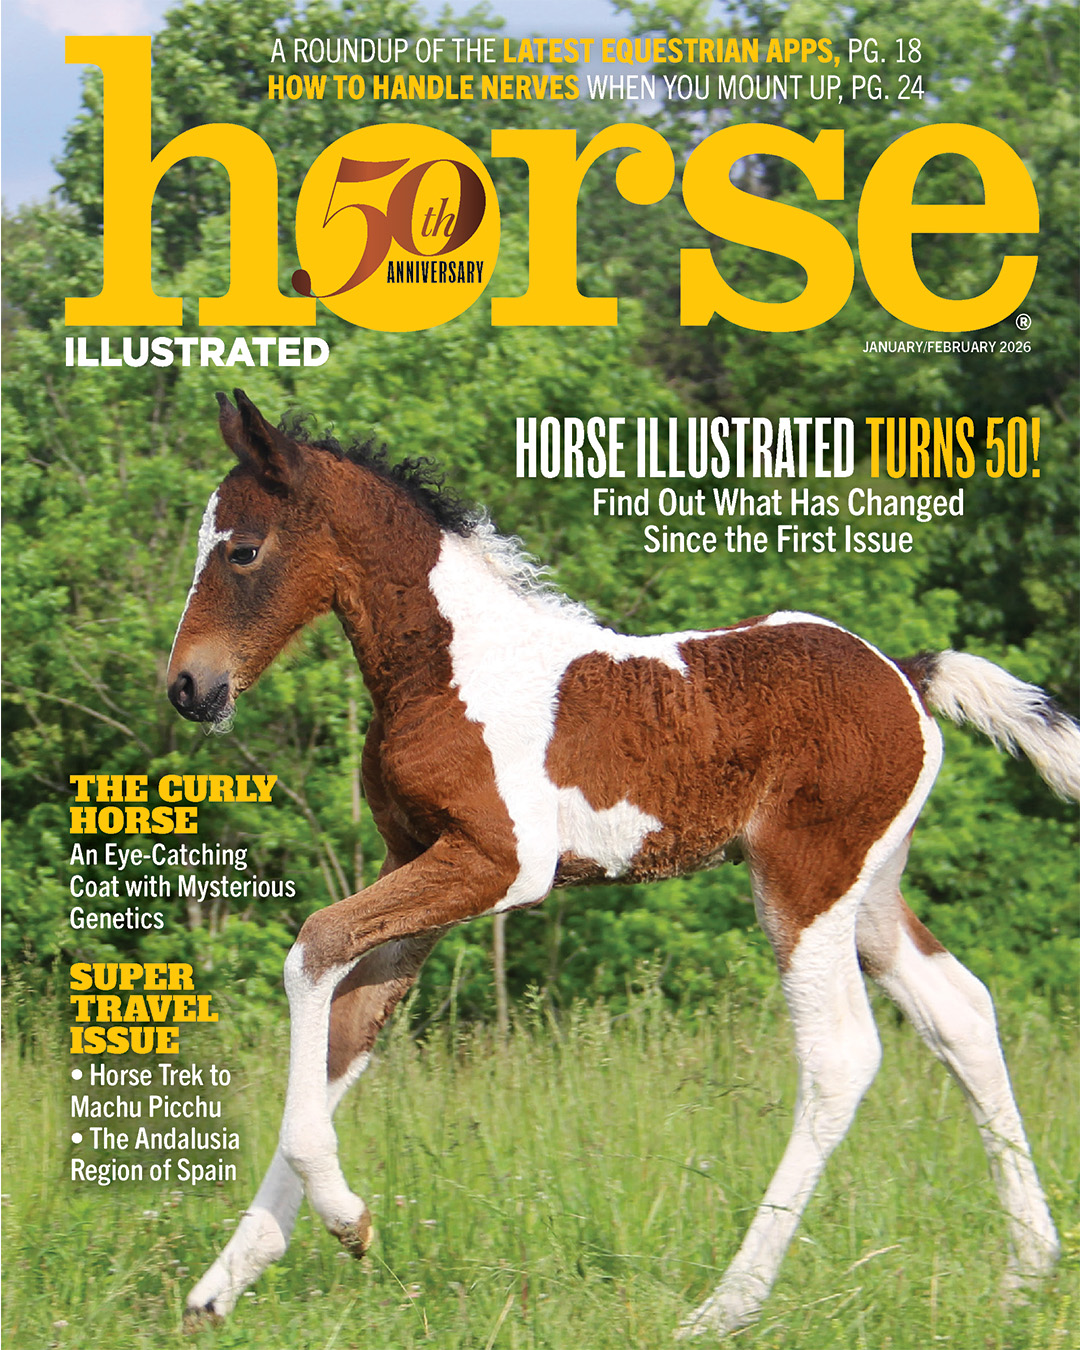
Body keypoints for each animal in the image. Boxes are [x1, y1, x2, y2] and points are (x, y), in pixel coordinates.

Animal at [168, 390, 1075, 1336]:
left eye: (241, 548)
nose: (188, 688)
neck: (451, 669)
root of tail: (903, 671)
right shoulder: (418, 861)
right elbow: (347, 1030)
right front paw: (224, 1283)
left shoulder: (498, 863)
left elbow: (312, 945)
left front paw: (346, 1218)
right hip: (869, 890)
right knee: (961, 1013)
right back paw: (1028, 1269)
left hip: (804, 882)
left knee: (840, 1055)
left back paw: (727, 1305)